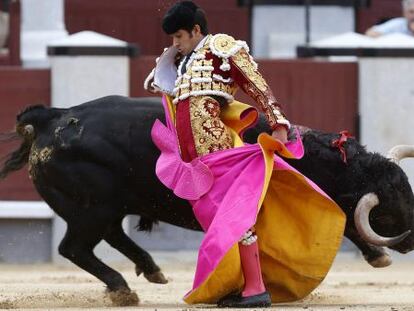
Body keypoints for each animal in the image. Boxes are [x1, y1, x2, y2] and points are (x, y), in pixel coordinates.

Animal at [0, 95, 414, 308]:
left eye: (407, 191)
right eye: (391, 209)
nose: (411, 239)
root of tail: (51, 118)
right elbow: (349, 223)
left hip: (109, 207)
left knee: (111, 236)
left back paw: (151, 269)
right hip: (91, 209)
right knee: (74, 248)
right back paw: (122, 290)